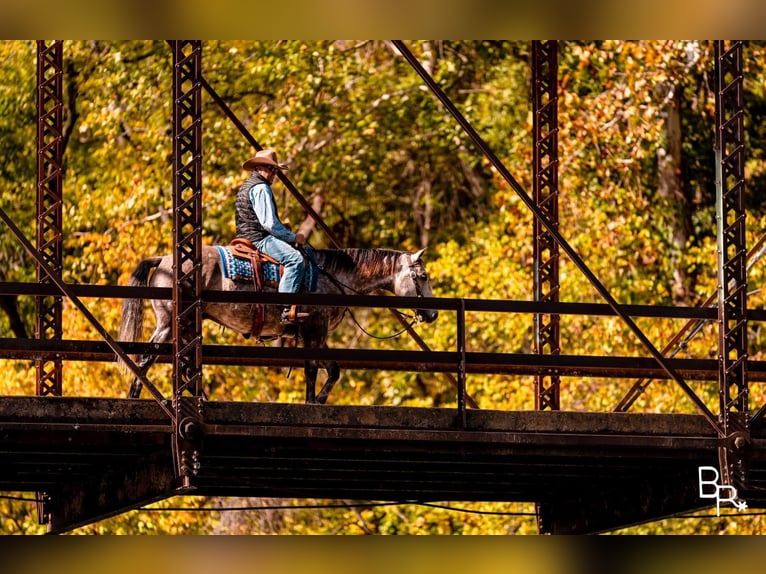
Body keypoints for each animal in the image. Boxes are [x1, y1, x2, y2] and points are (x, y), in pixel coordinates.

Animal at [117, 248, 436, 404]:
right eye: (422, 276)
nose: (432, 314)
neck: (330, 277)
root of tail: (164, 260)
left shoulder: (315, 335)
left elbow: (332, 369)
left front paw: (320, 399)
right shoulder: (313, 331)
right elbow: (312, 369)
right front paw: (311, 402)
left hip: (182, 327)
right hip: (169, 323)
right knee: (146, 357)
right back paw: (135, 398)